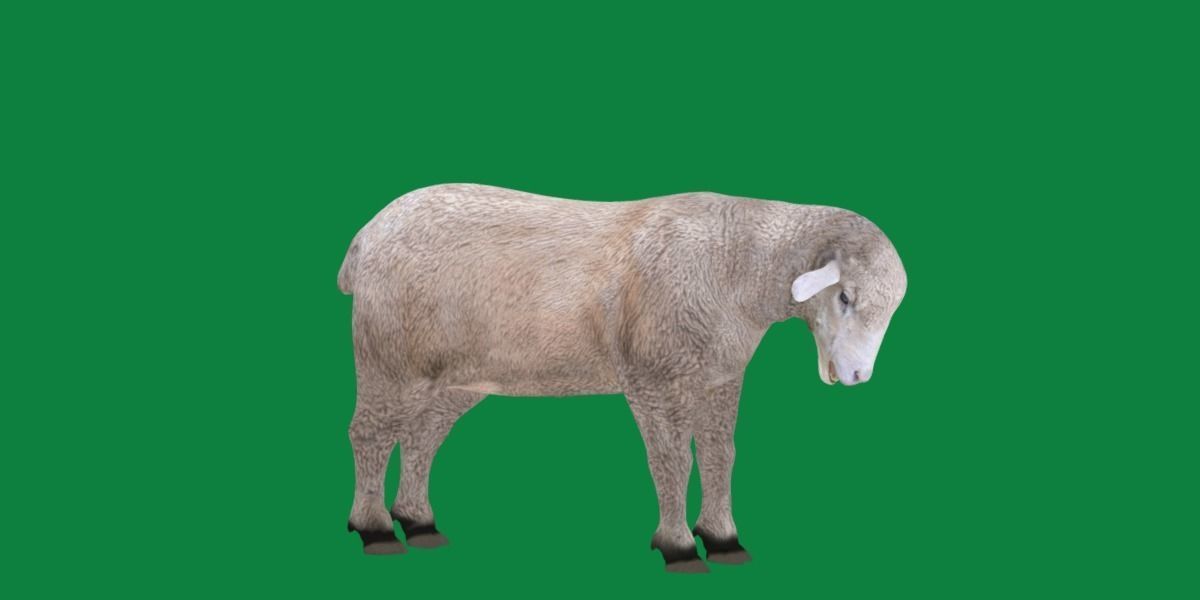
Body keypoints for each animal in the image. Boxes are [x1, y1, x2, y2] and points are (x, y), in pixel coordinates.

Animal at [338, 183, 907, 572]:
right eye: (845, 296)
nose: (858, 375)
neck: (737, 263)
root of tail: (365, 236)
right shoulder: (655, 381)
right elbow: (673, 462)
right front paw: (679, 546)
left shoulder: (720, 379)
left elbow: (721, 456)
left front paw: (723, 538)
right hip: (390, 358)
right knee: (369, 433)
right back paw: (375, 529)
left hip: (454, 378)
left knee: (421, 438)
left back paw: (417, 521)